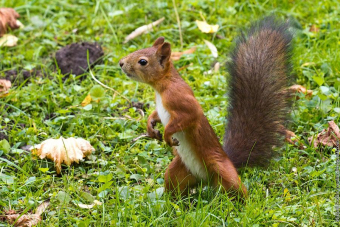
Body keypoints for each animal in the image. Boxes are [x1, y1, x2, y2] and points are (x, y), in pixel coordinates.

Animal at [119, 17, 292, 199]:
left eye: (142, 61)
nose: (121, 63)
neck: (162, 86)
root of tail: (206, 179)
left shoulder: (179, 98)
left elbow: (190, 115)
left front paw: (167, 135)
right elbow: (155, 114)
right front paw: (150, 126)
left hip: (222, 169)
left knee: (237, 187)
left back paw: (245, 202)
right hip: (177, 171)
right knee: (174, 183)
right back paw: (172, 202)